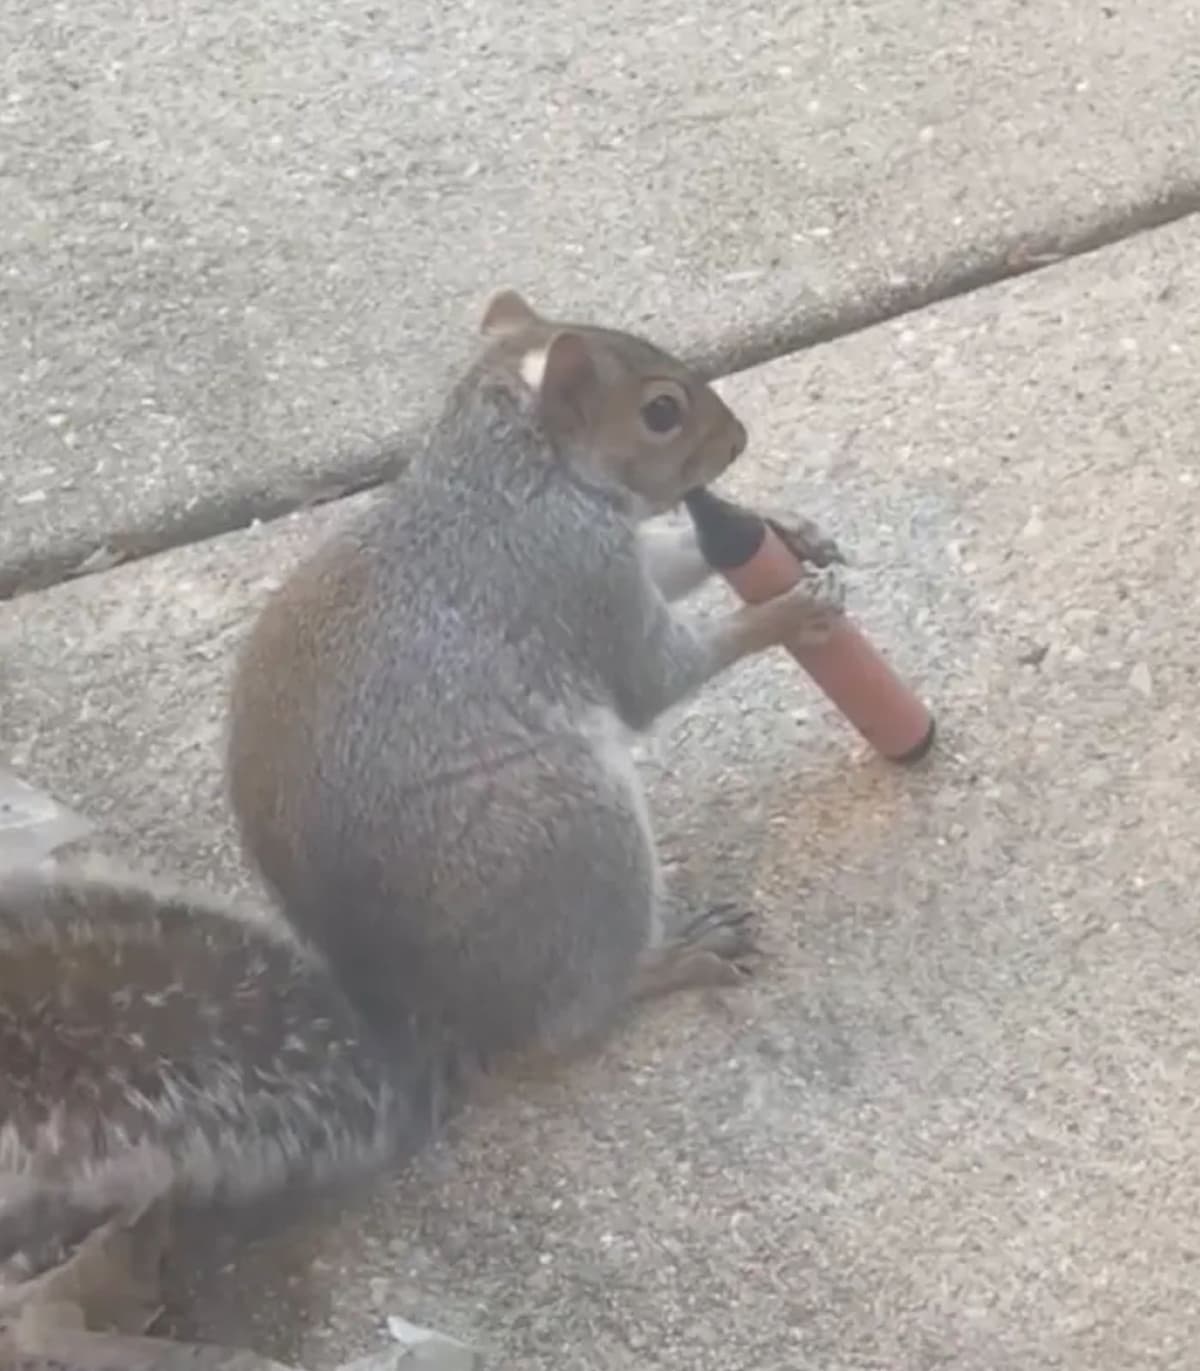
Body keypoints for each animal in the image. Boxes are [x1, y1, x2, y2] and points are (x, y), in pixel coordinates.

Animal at [0, 290, 845, 1368]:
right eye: (661, 410)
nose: (738, 442)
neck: (514, 472)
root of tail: (426, 1021)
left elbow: (677, 559)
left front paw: (784, 530)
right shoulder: (575, 582)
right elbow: (658, 675)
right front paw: (792, 612)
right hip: (568, 832)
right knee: (563, 1021)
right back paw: (672, 958)